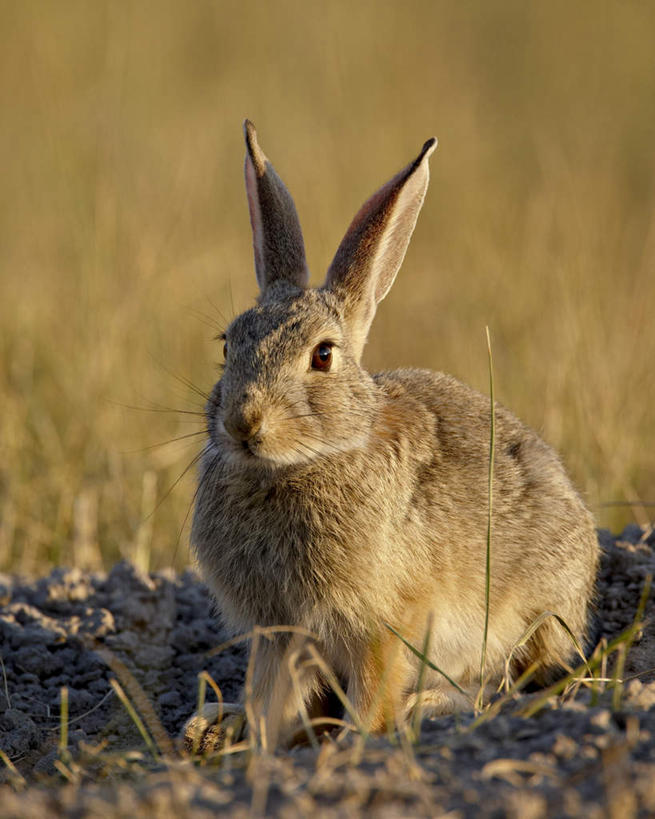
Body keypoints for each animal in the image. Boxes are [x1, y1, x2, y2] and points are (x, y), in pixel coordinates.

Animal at [187, 118, 604, 752]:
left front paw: (358, 744)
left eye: (323, 355)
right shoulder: (279, 631)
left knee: (503, 683)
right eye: (228, 344)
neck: (304, 462)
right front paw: (251, 742)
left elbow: (375, 688)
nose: (242, 424)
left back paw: (427, 708)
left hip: (531, 618)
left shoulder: (384, 623)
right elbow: (269, 695)